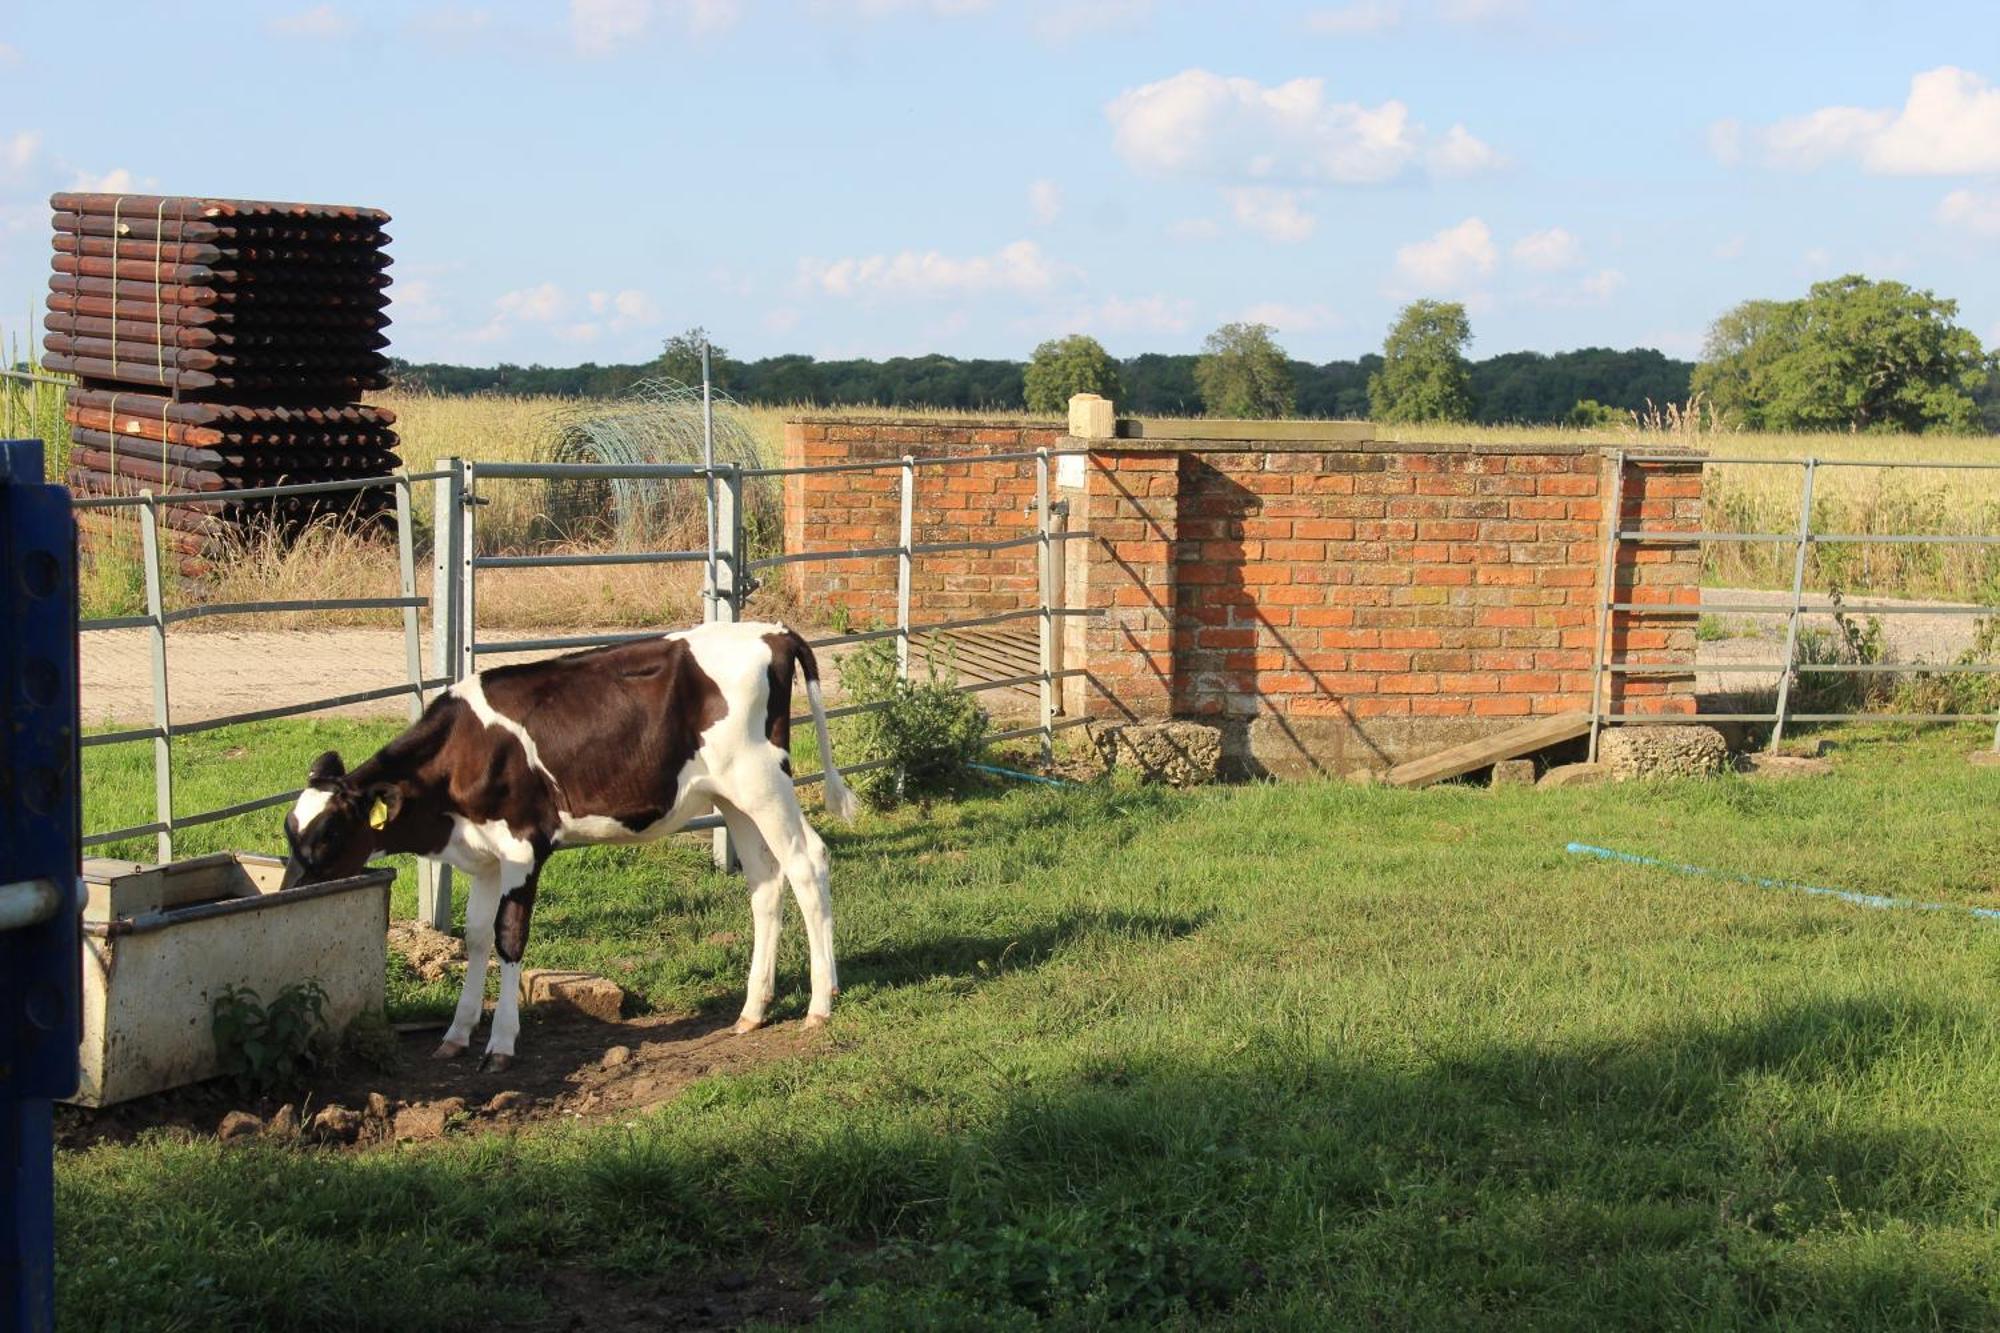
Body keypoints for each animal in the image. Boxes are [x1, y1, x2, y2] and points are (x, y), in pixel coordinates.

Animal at [278, 616, 856, 1064]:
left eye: (329, 833)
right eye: (289, 831)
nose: (288, 894)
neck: (463, 755)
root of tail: (772, 631)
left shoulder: (523, 847)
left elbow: (509, 940)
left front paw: (501, 1045)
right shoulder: (484, 858)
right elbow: (476, 938)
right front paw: (456, 1035)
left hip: (764, 780)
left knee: (808, 862)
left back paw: (819, 1004)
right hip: (733, 796)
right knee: (765, 880)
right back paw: (752, 1011)